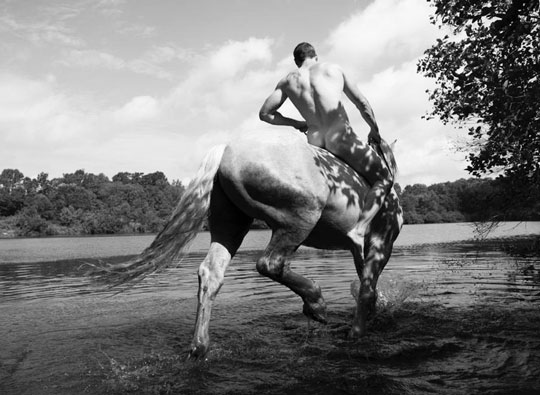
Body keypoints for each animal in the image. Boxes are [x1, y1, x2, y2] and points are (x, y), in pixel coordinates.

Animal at [96, 131, 400, 362]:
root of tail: (225, 150)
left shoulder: (360, 248)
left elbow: (364, 281)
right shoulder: (381, 243)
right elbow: (367, 286)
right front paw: (358, 329)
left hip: (231, 225)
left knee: (211, 273)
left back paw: (199, 347)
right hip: (300, 218)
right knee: (270, 263)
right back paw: (316, 303)